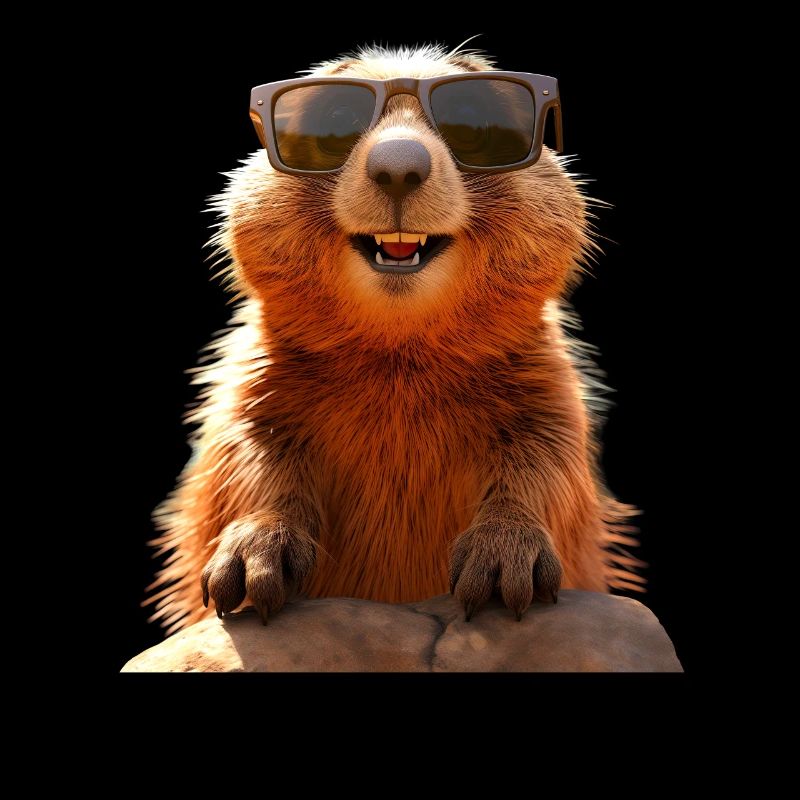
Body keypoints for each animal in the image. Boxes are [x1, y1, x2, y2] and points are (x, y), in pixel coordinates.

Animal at [148, 44, 642, 634]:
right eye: (334, 120)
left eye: (474, 123)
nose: (399, 165)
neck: (399, 355)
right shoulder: (248, 378)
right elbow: (245, 457)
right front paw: (252, 555)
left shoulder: (549, 382)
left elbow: (550, 463)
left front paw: (503, 557)